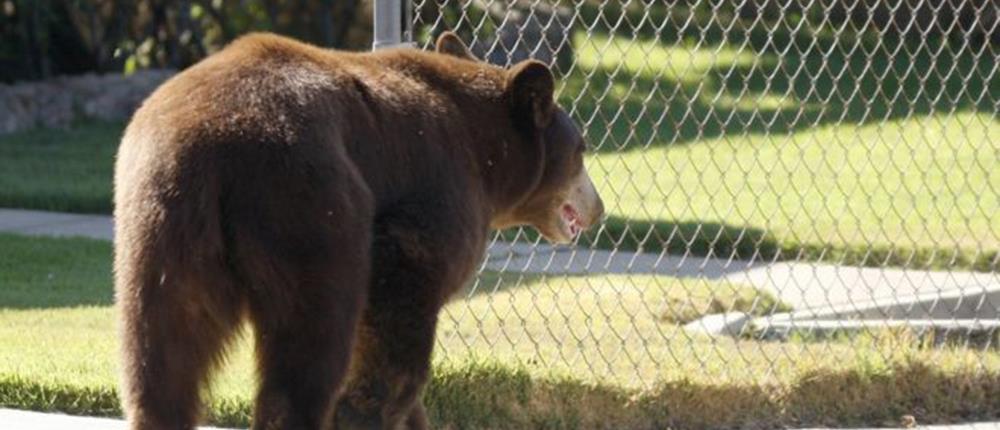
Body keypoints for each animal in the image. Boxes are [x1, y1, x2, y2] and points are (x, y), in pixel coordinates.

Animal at [114, 31, 604, 430]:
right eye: (581, 149)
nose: (597, 208)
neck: (487, 158)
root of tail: (210, 150)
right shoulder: (436, 191)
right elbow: (397, 316)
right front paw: (364, 411)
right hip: (309, 204)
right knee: (312, 338)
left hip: (158, 226)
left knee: (163, 353)